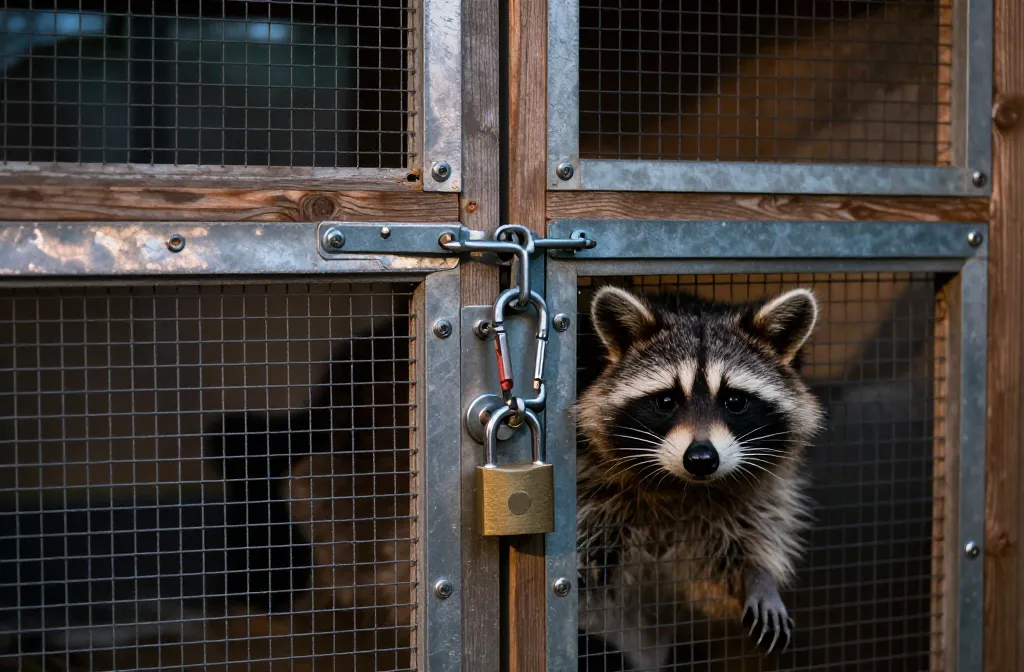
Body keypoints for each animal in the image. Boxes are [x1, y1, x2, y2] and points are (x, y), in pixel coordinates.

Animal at [575, 286, 824, 671]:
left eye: (735, 401)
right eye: (666, 401)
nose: (701, 459)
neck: (680, 486)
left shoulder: (752, 488)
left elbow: (741, 536)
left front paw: (757, 575)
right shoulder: (590, 475)